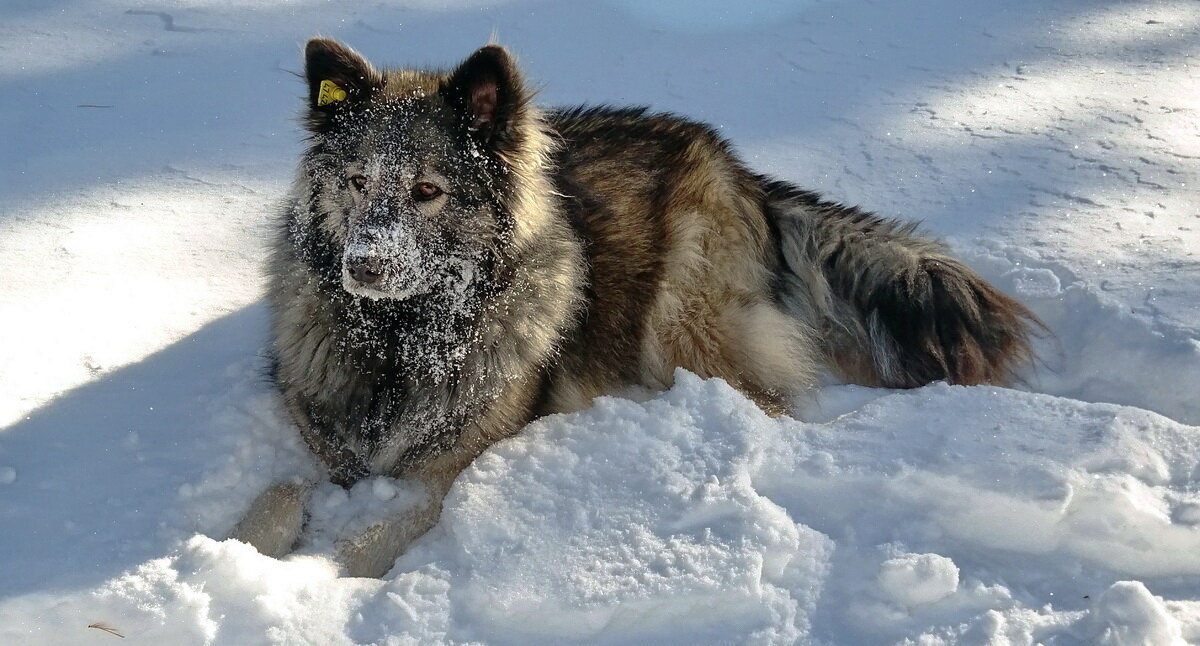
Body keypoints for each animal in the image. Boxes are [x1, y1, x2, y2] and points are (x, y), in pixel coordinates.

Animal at [229, 37, 1036, 576]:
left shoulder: (453, 468)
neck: (400, 338)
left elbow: (364, 542)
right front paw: (240, 554)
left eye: (428, 190)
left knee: (764, 400)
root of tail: (732, 161)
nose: (363, 266)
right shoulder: (328, 447)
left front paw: (315, 579)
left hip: (682, 322)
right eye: (358, 181)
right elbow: (279, 489)